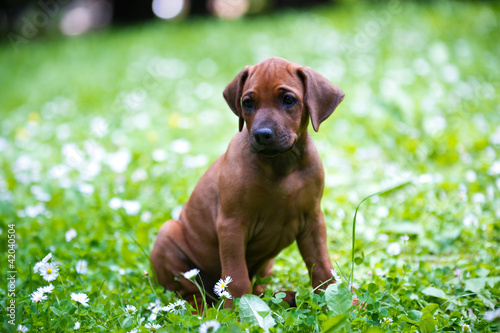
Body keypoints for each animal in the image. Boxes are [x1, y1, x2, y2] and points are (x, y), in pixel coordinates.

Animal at [150, 56, 346, 304]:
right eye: (248, 103)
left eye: (288, 99)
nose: (262, 135)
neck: (282, 164)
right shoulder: (231, 225)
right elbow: (237, 277)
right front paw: (238, 310)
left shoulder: (312, 220)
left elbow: (322, 267)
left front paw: (341, 301)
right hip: (169, 236)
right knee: (191, 295)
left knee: (260, 289)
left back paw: (286, 297)